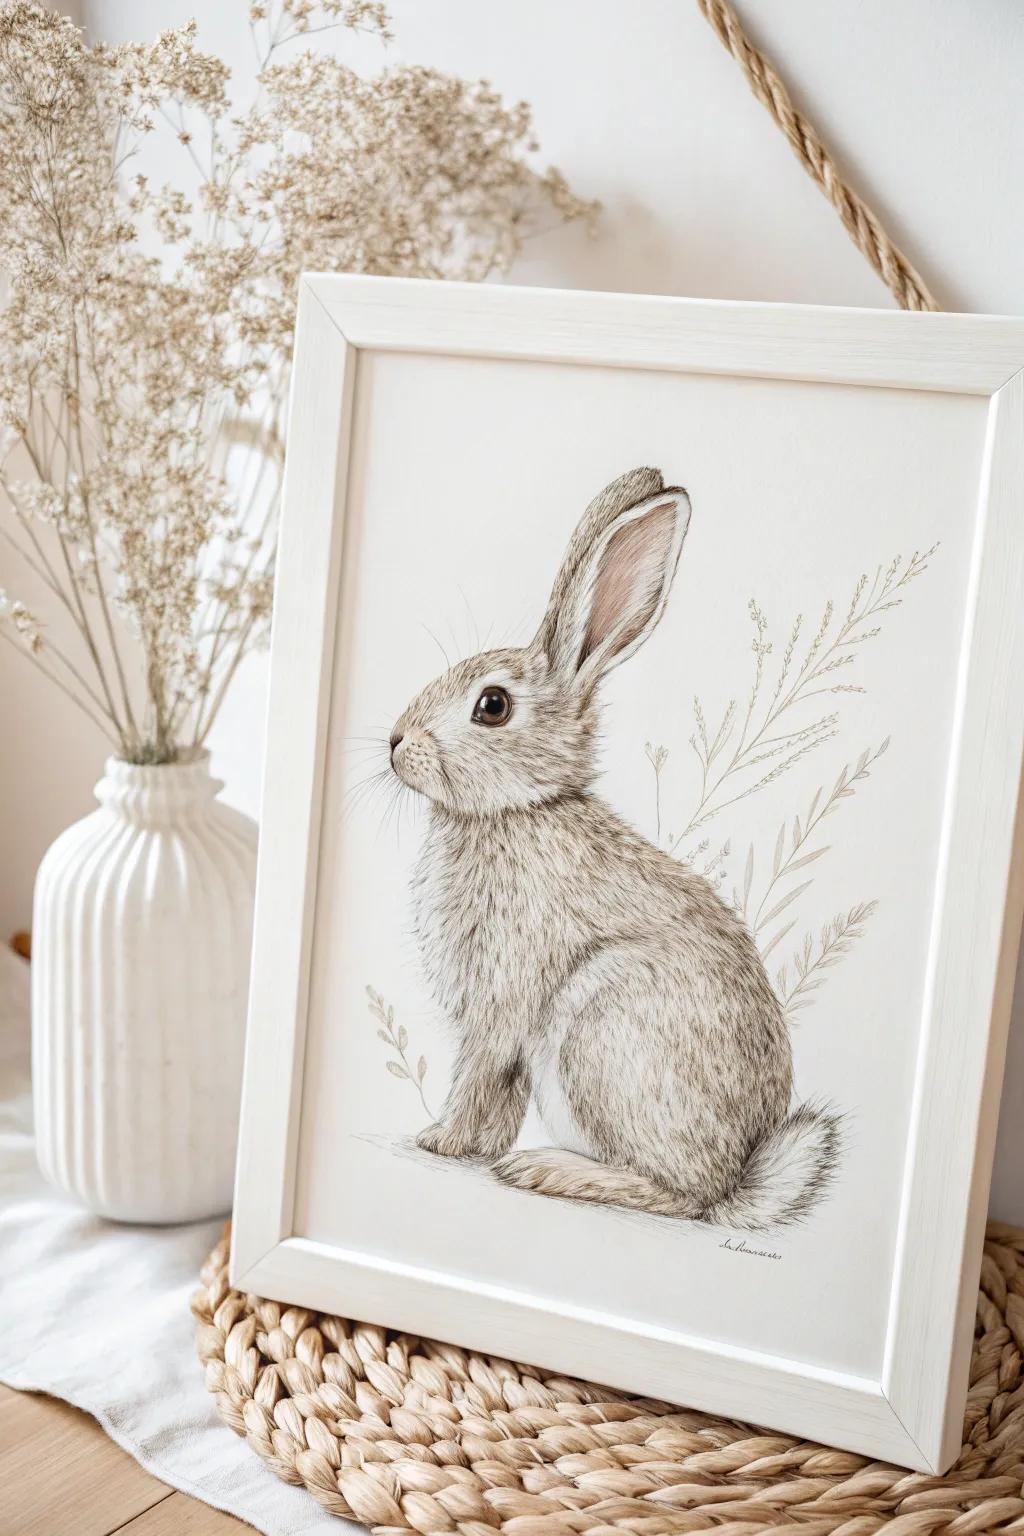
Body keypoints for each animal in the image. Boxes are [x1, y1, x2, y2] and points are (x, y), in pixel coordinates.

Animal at [388, 467, 840, 1231]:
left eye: (491, 706)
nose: (394, 743)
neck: (518, 808)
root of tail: (734, 1178)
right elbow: (499, 1093)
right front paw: (467, 1144)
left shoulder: (503, 996)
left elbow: (478, 1076)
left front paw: (442, 1139)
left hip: (598, 1027)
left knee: (677, 1197)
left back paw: (547, 1170)